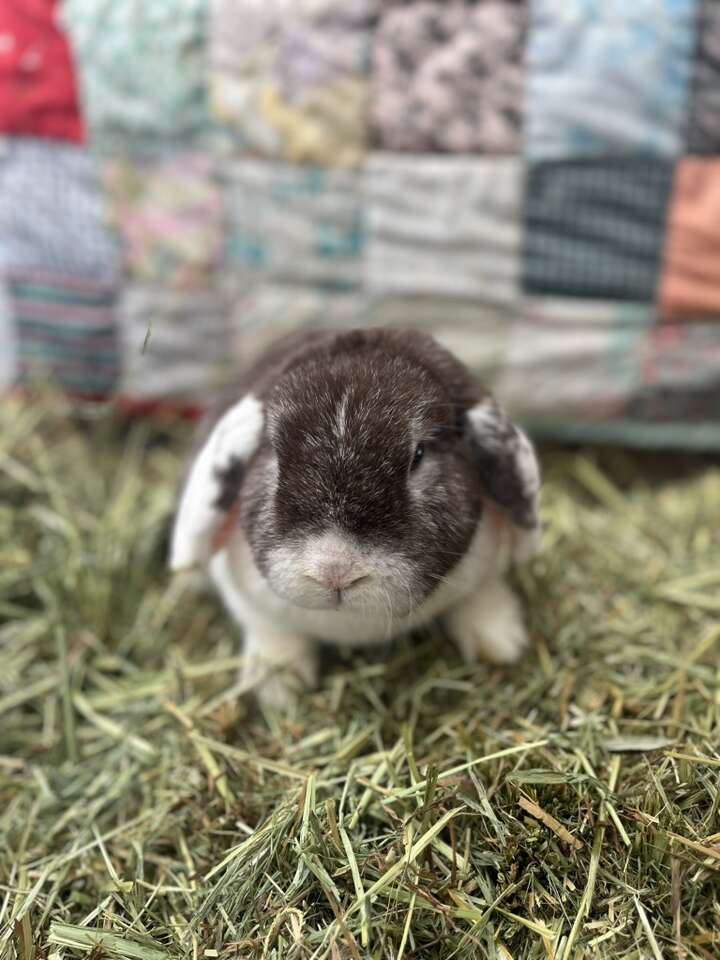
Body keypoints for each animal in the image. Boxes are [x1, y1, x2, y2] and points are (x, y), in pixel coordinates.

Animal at [170, 326, 540, 708]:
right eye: (273, 451)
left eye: (419, 455)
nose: (335, 573)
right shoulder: (246, 599)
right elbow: (269, 629)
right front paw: (277, 689)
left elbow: (481, 595)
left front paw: (501, 643)